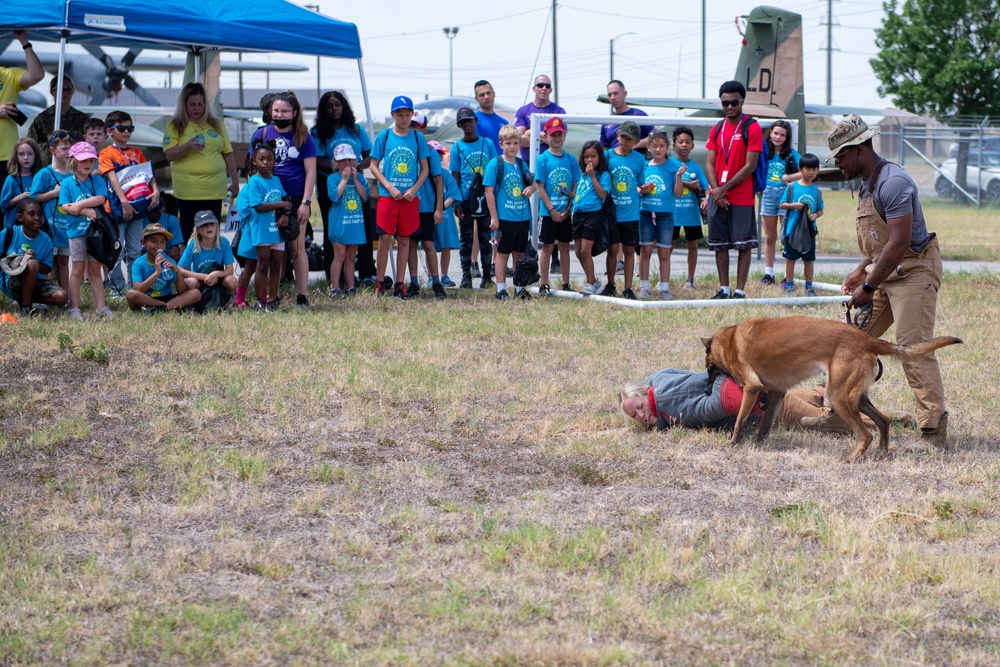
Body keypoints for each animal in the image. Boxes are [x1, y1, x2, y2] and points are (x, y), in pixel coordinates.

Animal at [700, 316, 964, 462]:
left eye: (710, 370)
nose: (705, 391)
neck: (729, 340)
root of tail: (867, 339)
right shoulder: (776, 393)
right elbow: (765, 425)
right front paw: (757, 442)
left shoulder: (752, 388)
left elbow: (739, 420)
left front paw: (733, 443)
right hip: (855, 398)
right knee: (883, 421)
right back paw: (881, 452)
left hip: (838, 397)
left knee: (865, 434)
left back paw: (851, 458)